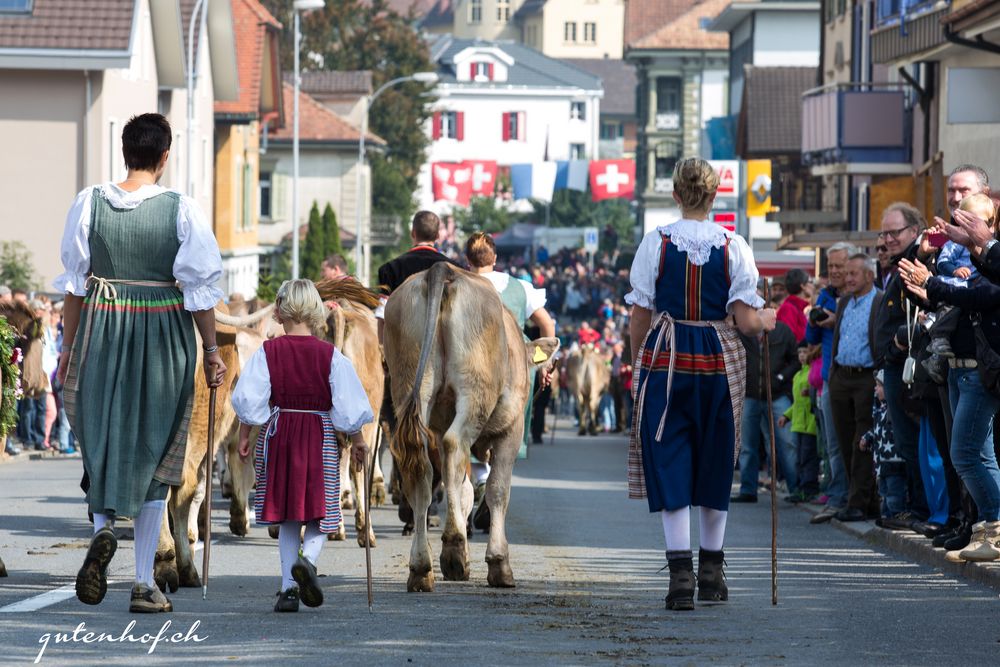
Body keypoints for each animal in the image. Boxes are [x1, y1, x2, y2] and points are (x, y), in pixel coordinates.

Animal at [382, 264, 560, 592]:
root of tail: (442, 271)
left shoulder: (439, 426)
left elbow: (461, 487)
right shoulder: (511, 430)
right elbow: (497, 489)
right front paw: (499, 563)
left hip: (410, 387)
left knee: (422, 467)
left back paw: (422, 568)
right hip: (475, 390)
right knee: (454, 446)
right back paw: (453, 551)